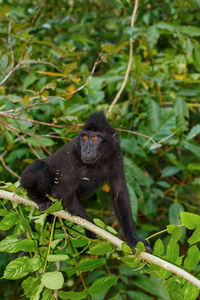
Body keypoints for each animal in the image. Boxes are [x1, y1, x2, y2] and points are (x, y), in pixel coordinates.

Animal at [20, 112, 152, 253]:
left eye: (94, 138)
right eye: (84, 137)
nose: (86, 150)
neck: (98, 161)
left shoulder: (116, 158)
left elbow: (119, 194)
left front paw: (133, 239)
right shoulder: (73, 157)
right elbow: (65, 193)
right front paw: (91, 229)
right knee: (40, 167)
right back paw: (39, 199)